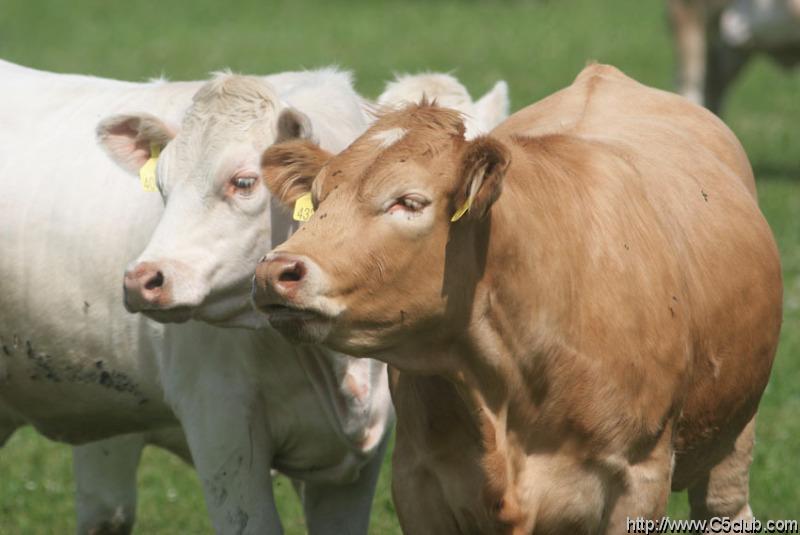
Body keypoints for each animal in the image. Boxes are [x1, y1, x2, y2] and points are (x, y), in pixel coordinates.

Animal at [252, 66, 780, 535]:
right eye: (318, 200)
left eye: (409, 201)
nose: (276, 272)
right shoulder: (418, 483)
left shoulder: (639, 480)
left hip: (734, 439)